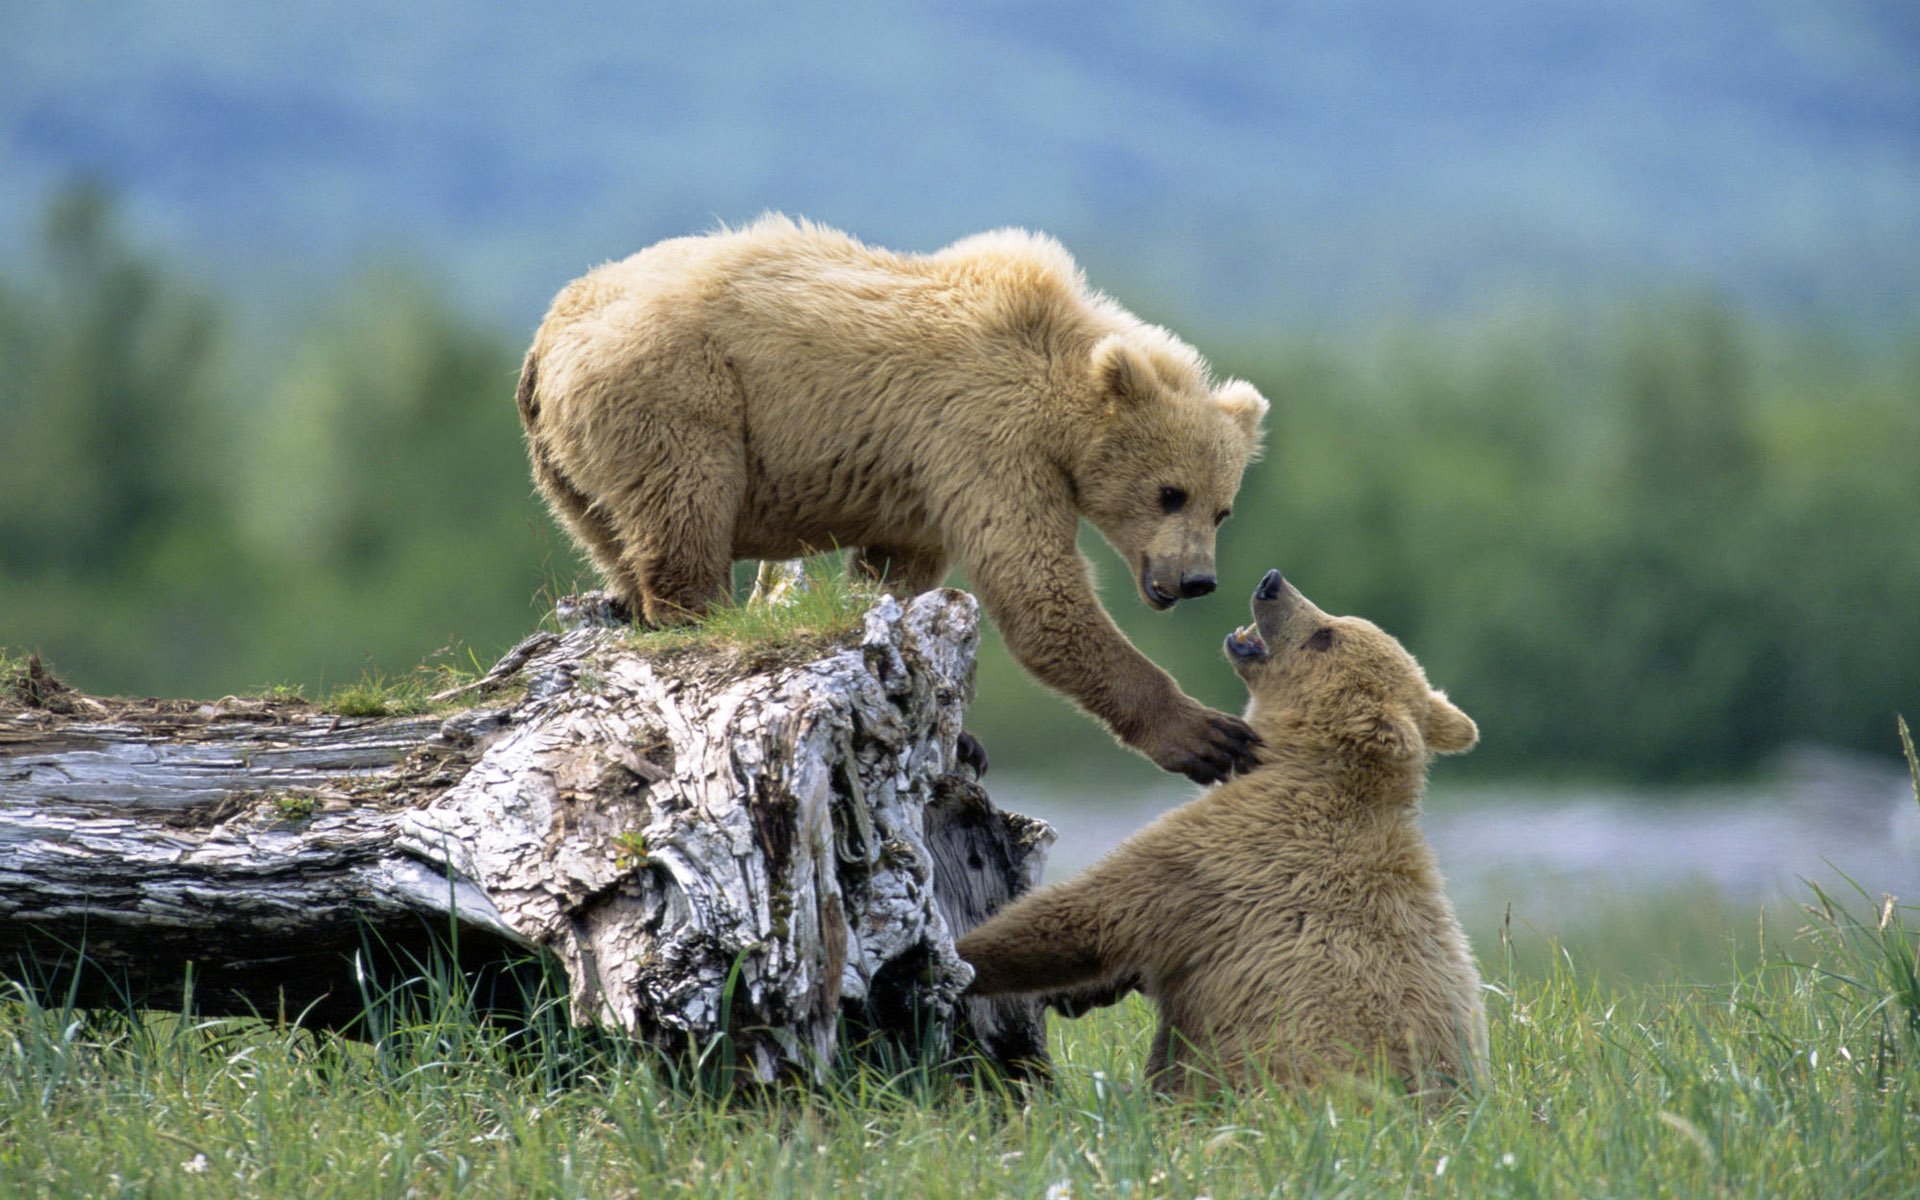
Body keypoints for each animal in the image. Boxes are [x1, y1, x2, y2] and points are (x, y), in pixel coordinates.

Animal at [516, 216, 1269, 783]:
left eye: (1221, 508)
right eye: (1170, 493)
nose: (1197, 579)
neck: (1059, 389)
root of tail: (546, 337)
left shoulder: (924, 483)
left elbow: (898, 574)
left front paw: (959, 733)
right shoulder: (986, 439)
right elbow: (1038, 592)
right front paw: (1210, 735)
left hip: (569, 468)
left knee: (615, 536)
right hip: (675, 391)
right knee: (686, 508)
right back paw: (703, 613)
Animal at [956, 568, 1487, 1097]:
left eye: (1325, 635)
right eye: (1336, 622)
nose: (1272, 582)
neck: (1304, 765)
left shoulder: (1225, 856)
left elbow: (1088, 916)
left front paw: (961, 958)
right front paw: (1080, 993)